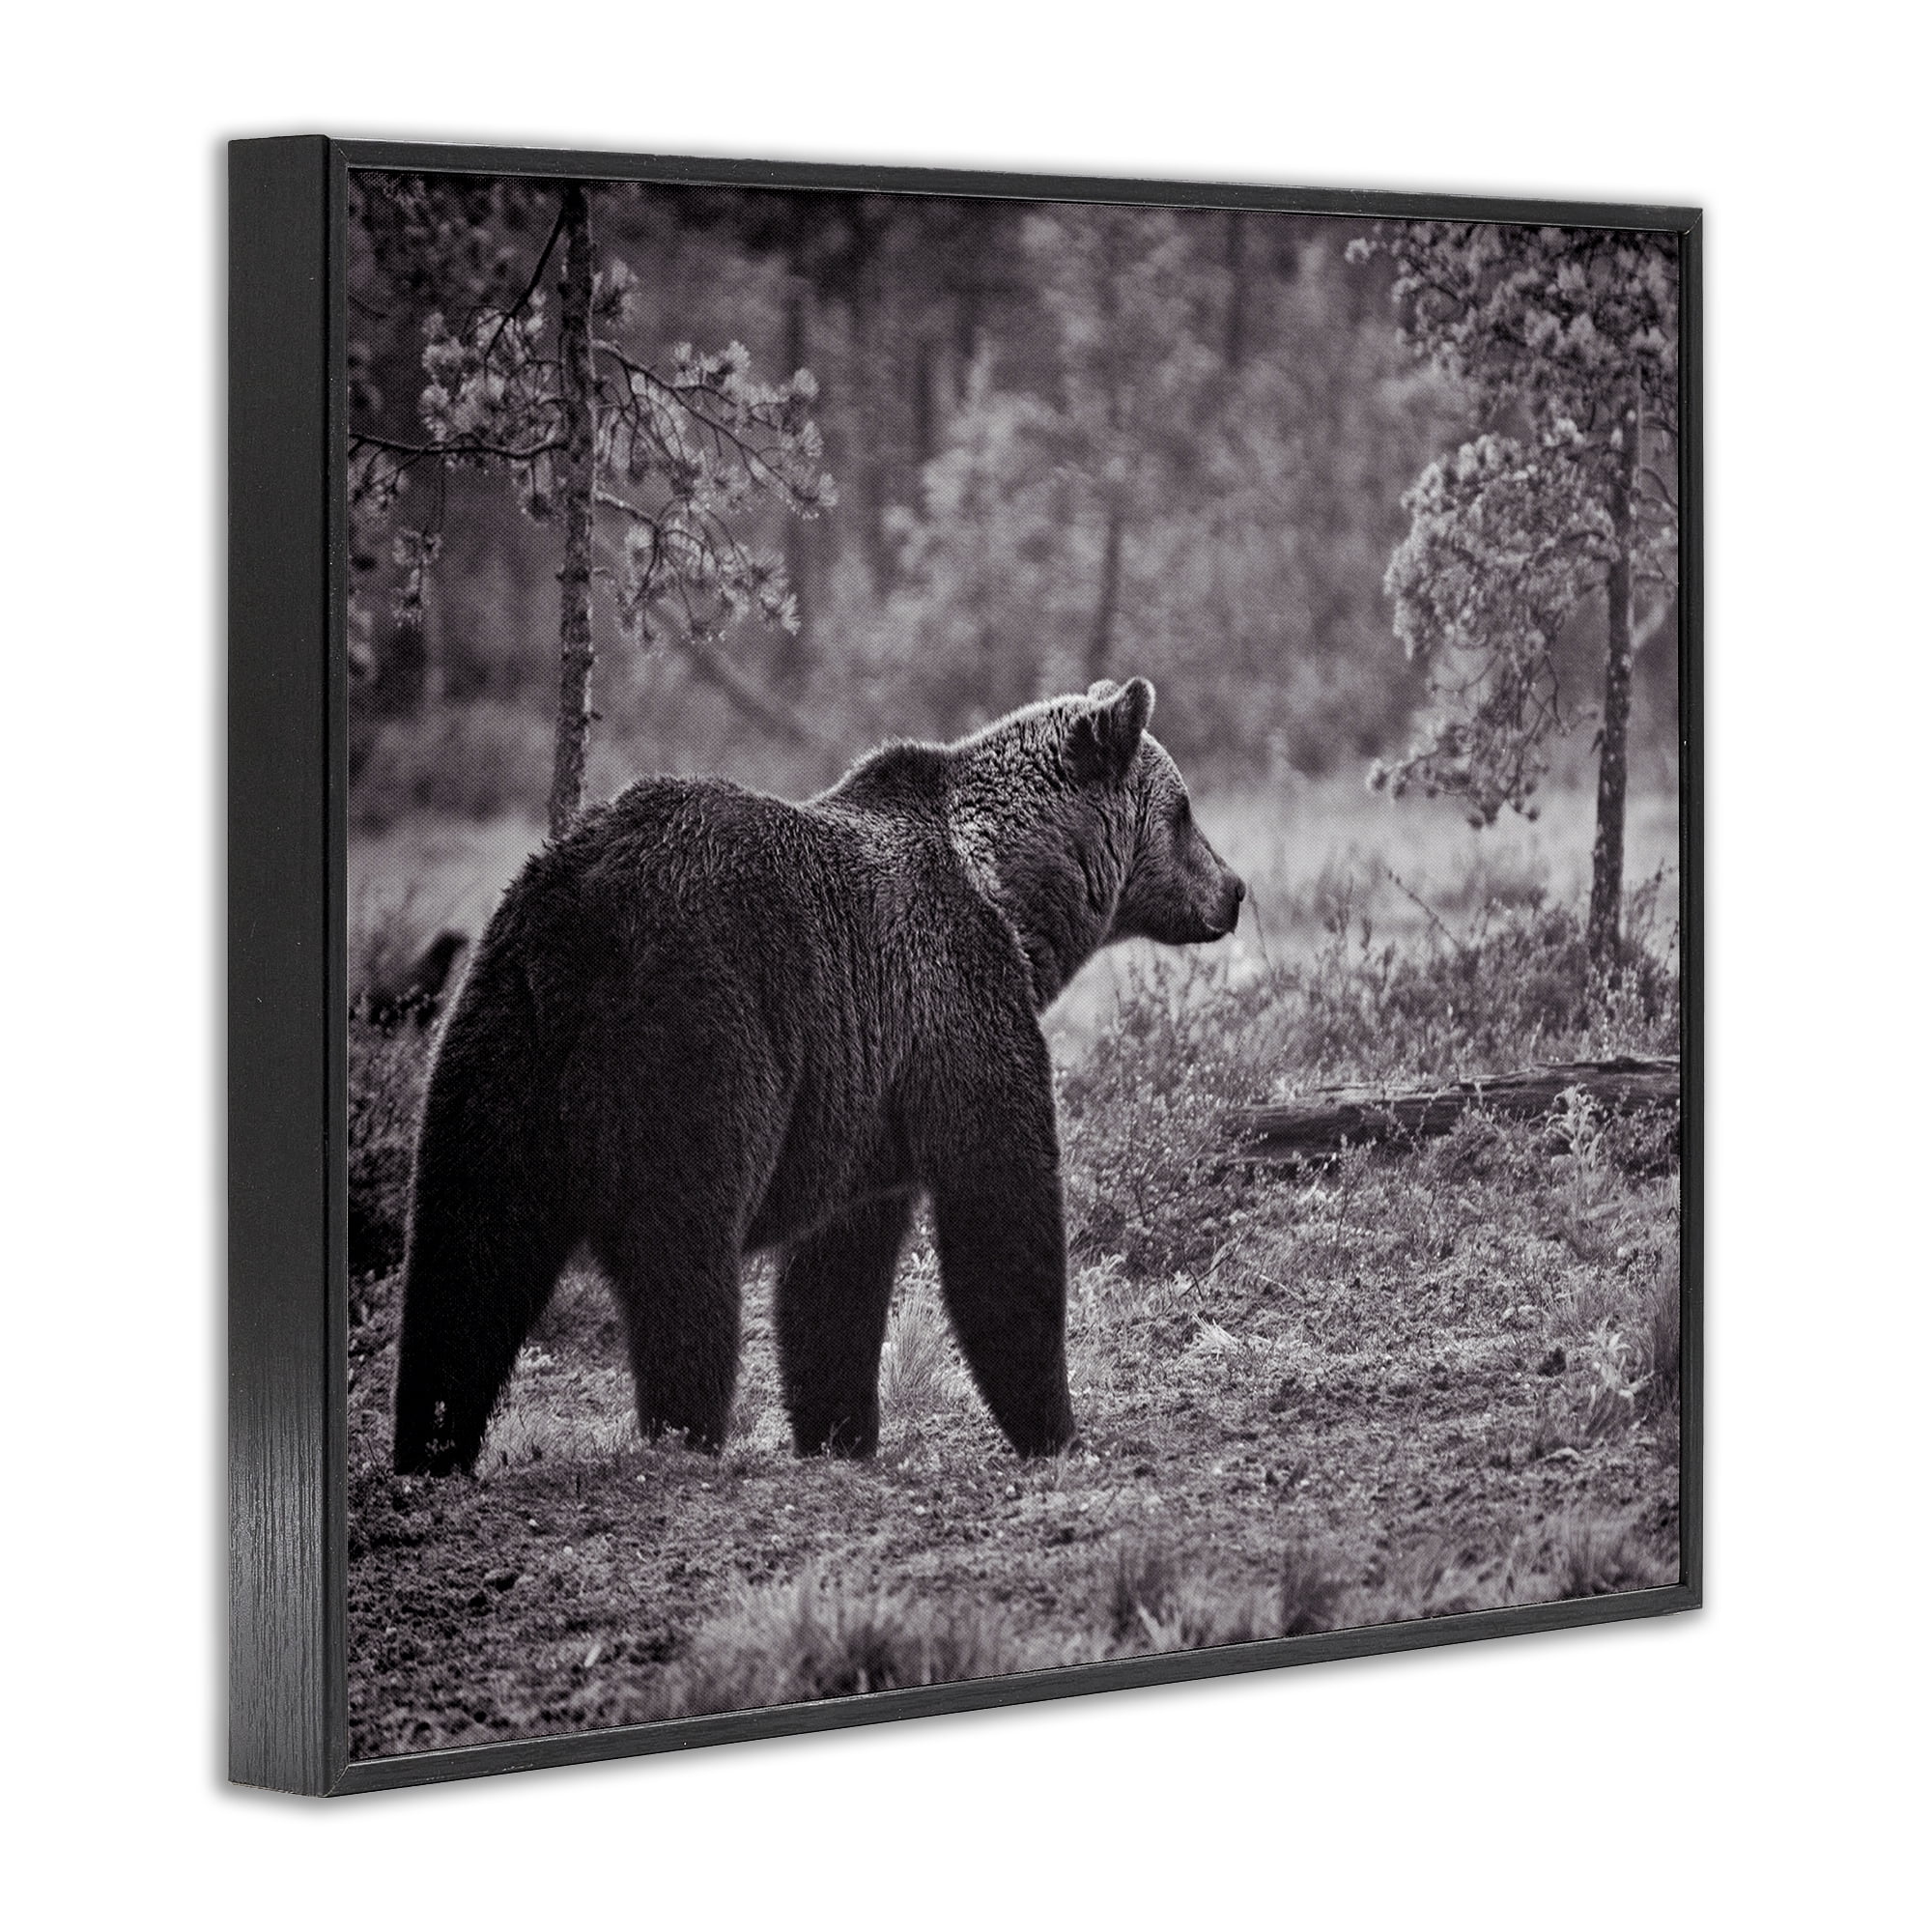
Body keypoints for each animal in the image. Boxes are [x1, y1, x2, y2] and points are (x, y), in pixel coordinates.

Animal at [391, 677, 1245, 1476]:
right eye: (1184, 811)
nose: (1234, 889)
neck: (1009, 893)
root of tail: (582, 913)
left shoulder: (866, 1102)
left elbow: (835, 1280)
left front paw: (840, 1433)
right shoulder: (956, 1003)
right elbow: (1000, 1207)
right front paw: (1057, 1428)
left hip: (499, 1040)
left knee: (465, 1257)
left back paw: (428, 1449)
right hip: (697, 1031)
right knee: (681, 1256)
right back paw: (685, 1435)